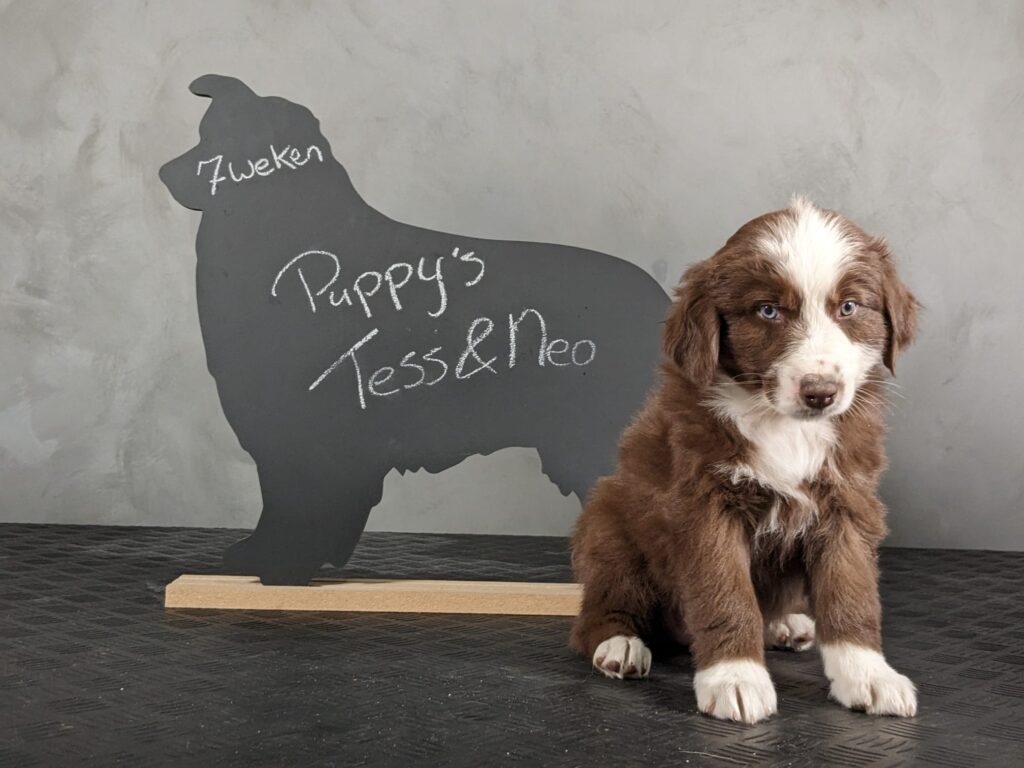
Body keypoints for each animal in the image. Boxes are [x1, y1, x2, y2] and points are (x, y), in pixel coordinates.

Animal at [160, 75, 669, 584]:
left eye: (214, 142)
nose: (164, 173)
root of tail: (660, 301)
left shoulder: (310, 437)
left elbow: (300, 505)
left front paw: (285, 567)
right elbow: (280, 507)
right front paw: (257, 556)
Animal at [570, 197, 920, 723]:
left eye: (849, 307)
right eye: (768, 311)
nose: (820, 392)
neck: (781, 423)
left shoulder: (846, 500)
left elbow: (851, 590)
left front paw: (869, 675)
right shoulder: (703, 505)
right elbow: (725, 592)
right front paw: (735, 677)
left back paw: (785, 624)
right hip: (609, 528)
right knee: (602, 606)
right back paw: (620, 645)